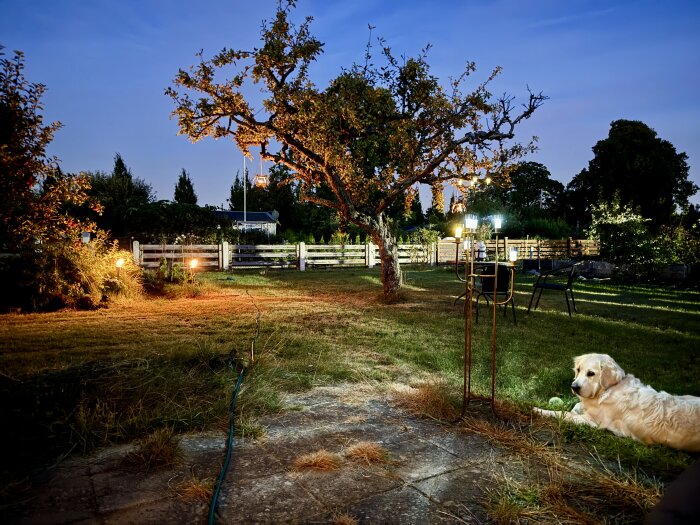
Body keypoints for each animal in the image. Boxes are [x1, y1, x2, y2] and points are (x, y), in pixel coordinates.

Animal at [536, 352, 700, 450]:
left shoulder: (592, 422)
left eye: (591, 373)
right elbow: (575, 406)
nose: (574, 387)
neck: (608, 389)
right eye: (578, 370)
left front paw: (538, 409)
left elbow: (562, 413)